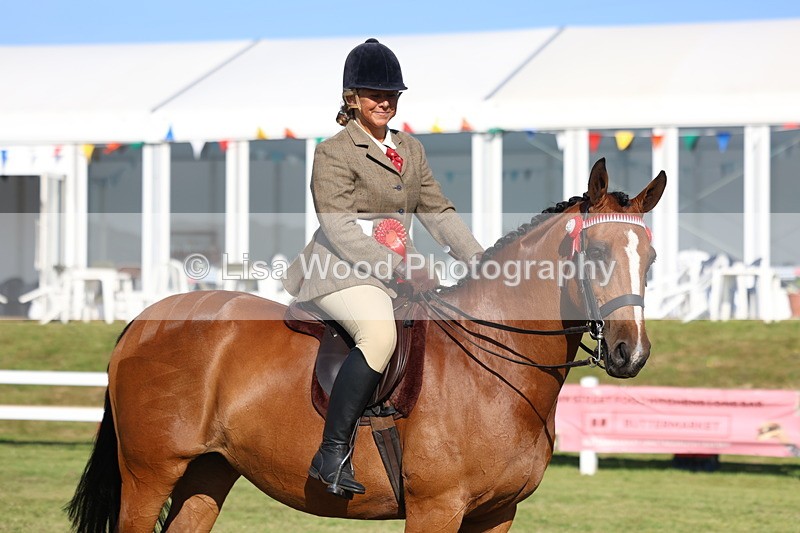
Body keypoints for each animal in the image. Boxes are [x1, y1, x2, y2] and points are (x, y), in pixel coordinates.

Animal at [67, 158, 666, 533]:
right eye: (595, 253)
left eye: (651, 258)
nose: (629, 354)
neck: (494, 369)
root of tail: (142, 322)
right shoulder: (436, 510)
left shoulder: (496, 514)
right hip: (148, 475)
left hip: (208, 473)